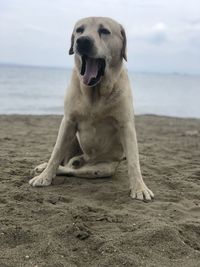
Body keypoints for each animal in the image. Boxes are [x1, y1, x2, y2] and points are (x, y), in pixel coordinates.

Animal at [28, 16, 154, 201]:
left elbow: (133, 161)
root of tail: (85, 158)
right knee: (65, 162)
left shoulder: (126, 125)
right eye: (79, 30)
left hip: (100, 170)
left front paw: (139, 187)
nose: (82, 41)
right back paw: (46, 167)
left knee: (72, 170)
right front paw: (45, 176)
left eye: (104, 31)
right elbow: (55, 153)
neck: (95, 93)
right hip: (73, 138)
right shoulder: (68, 121)